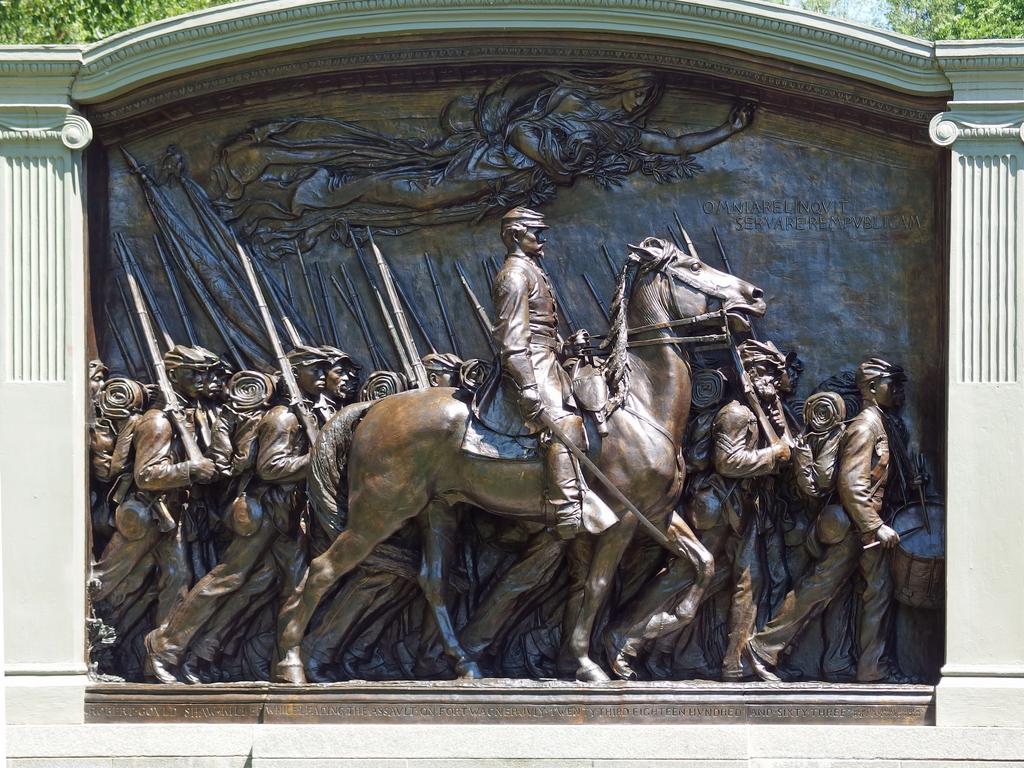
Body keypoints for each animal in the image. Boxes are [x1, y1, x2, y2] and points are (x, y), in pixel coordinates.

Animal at [276, 236, 765, 684]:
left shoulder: (657, 514)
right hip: (380, 512)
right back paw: (292, 665)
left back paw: (465, 664)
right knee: (323, 570)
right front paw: (589, 663)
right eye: (694, 266)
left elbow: (702, 563)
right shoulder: (623, 519)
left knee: (432, 581)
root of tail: (373, 408)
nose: (756, 295)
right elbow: (598, 586)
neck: (640, 405)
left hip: (437, 510)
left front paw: (637, 639)